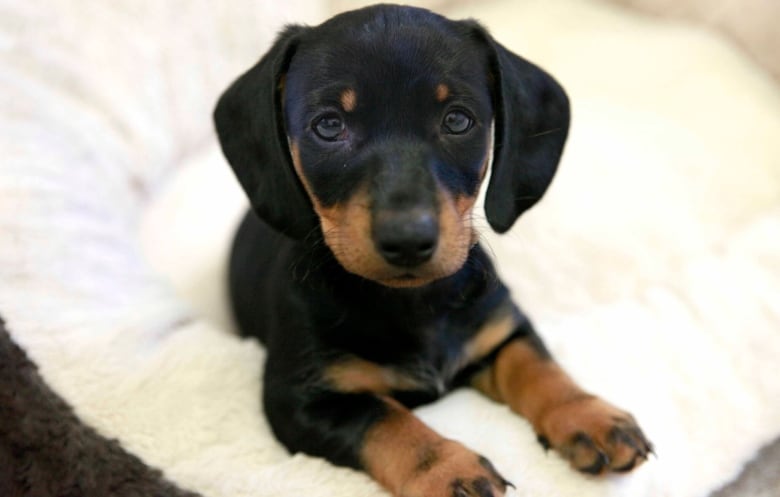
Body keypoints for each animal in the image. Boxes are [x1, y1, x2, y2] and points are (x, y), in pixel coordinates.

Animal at [215, 4, 652, 496]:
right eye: (328, 125)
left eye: (457, 120)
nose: (407, 240)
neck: (412, 301)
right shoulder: (301, 400)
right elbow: (385, 420)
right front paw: (448, 470)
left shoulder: (498, 329)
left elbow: (537, 365)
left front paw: (589, 415)